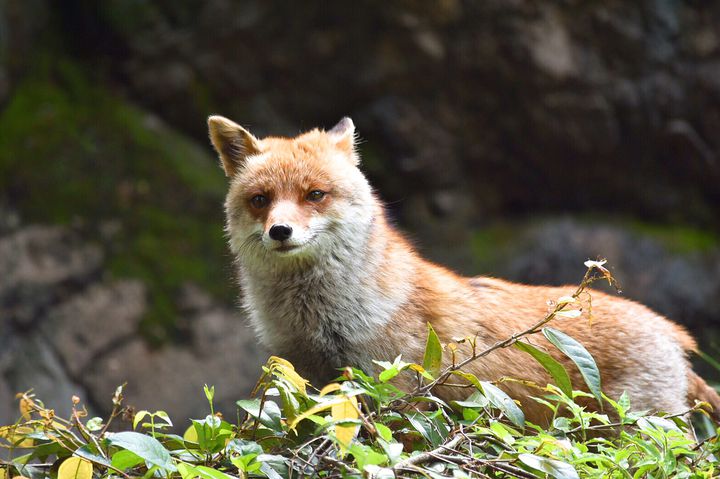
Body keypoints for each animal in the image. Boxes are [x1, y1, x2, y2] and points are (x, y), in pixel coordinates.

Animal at [207, 116, 720, 428]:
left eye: (315, 194)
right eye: (260, 200)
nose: (280, 231)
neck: (322, 318)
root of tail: (676, 336)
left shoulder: (400, 392)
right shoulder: (314, 383)